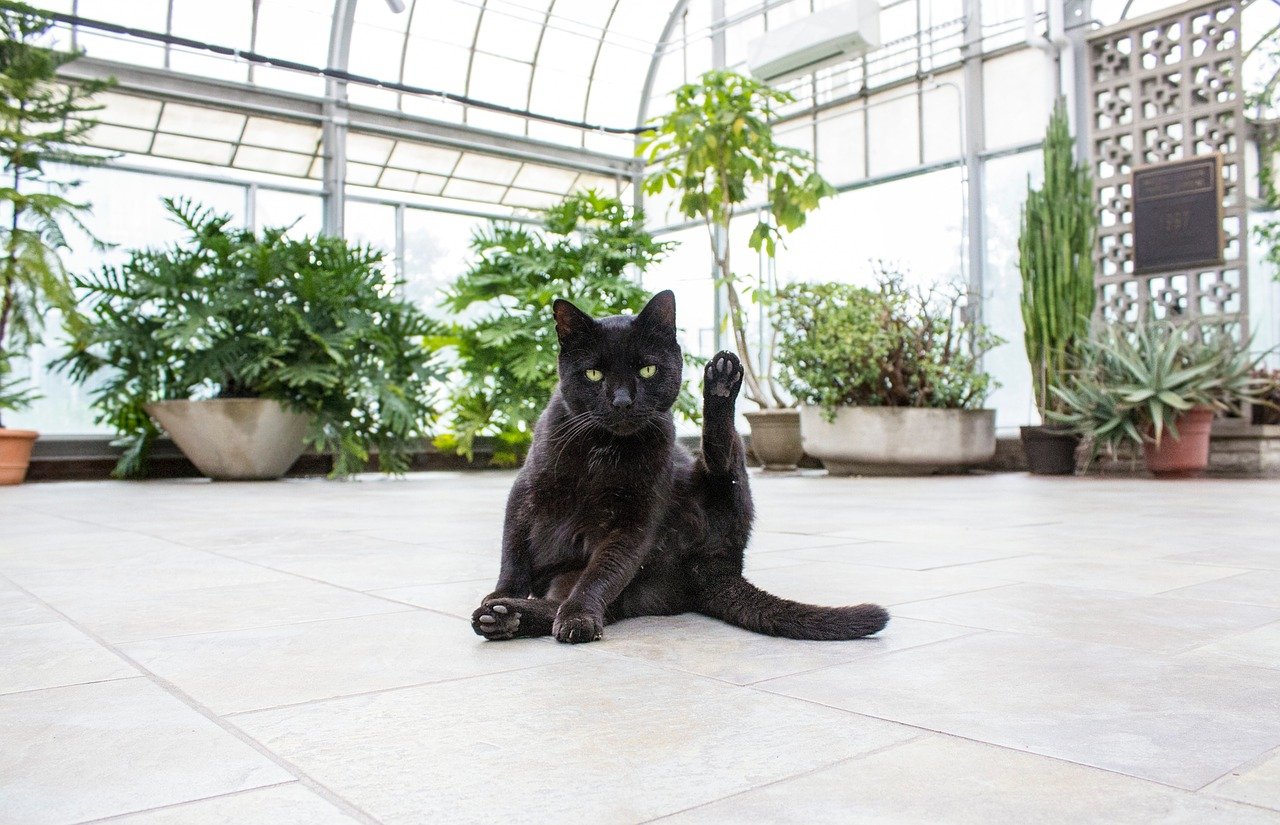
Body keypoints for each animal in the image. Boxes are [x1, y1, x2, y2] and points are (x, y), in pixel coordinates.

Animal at [471, 289, 890, 644]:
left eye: (647, 370)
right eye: (593, 373)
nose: (622, 401)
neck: (602, 452)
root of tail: (718, 566)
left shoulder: (636, 519)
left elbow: (601, 573)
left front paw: (578, 617)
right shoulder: (525, 492)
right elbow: (513, 554)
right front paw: (500, 595)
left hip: (714, 491)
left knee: (724, 462)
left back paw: (722, 383)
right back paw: (503, 615)